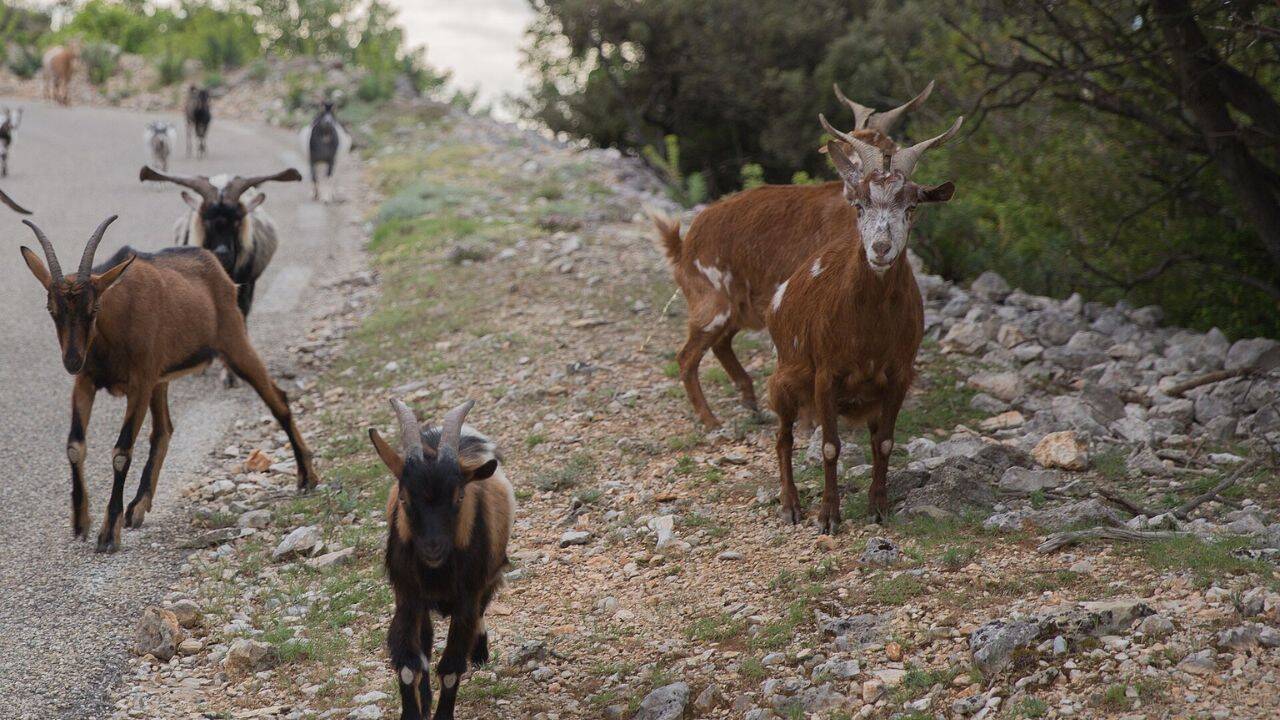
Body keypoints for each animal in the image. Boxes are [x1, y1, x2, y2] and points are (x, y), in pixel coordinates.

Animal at [17, 217, 318, 552]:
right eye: (52, 310)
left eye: (93, 308)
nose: (71, 360)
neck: (112, 329)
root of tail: (214, 266)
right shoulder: (87, 382)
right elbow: (74, 446)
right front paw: (81, 521)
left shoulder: (139, 383)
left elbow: (122, 452)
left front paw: (108, 534)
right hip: (161, 378)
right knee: (163, 430)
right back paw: (137, 507)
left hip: (234, 343)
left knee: (278, 399)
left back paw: (307, 477)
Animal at [370, 399, 514, 720]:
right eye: (404, 497)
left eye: (459, 496)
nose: (432, 548)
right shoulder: (408, 596)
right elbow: (410, 662)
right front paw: (416, 712)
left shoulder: (467, 598)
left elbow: (450, 668)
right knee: (424, 644)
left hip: (489, 578)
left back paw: (480, 651)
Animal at [653, 82, 935, 428]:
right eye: (847, 144)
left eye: (885, 149)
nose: (854, 180)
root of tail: (684, 245)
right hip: (712, 301)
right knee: (687, 356)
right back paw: (712, 421)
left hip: (737, 305)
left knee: (720, 344)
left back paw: (749, 402)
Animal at [765, 115, 962, 532]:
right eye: (859, 204)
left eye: (912, 206)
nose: (881, 249)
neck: (868, 331)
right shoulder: (826, 374)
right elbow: (829, 446)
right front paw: (828, 516)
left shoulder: (900, 374)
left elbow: (884, 443)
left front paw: (878, 508)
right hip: (784, 381)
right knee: (782, 437)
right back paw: (790, 505)